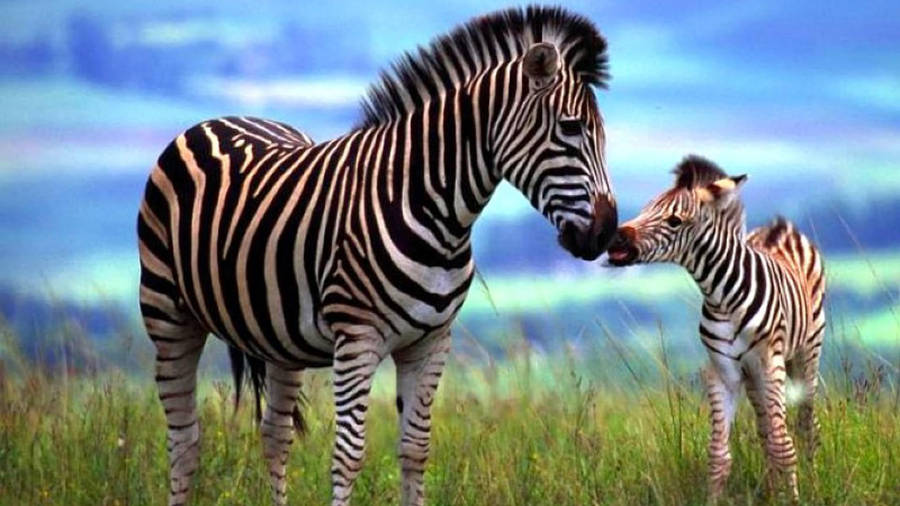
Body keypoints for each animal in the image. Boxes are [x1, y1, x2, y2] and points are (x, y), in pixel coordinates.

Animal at [137, 7, 618, 505]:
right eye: (571, 127)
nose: (605, 233)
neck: (431, 209)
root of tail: (219, 118)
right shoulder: (358, 338)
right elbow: (349, 455)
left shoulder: (431, 342)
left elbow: (415, 449)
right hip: (167, 313)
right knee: (185, 438)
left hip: (277, 338)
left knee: (274, 435)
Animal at [606, 156, 826, 502]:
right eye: (646, 208)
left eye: (674, 221)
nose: (615, 239)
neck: (722, 297)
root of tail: (781, 227)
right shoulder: (724, 371)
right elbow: (719, 454)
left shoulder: (769, 363)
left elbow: (784, 446)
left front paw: (792, 499)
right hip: (753, 376)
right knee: (765, 429)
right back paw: (770, 488)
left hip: (806, 353)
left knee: (806, 424)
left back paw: (811, 480)